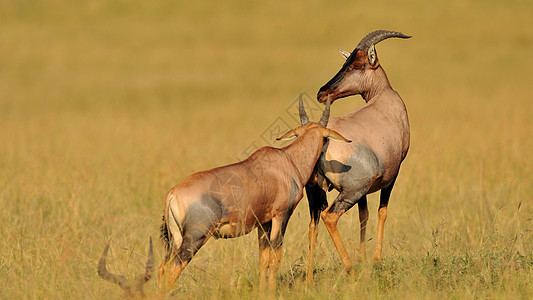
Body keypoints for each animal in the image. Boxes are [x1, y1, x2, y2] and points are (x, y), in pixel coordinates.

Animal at [157, 95, 350, 290]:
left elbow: (263, 258)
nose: (320, 181)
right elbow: (275, 257)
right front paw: (271, 290)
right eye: (326, 140)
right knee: (173, 269)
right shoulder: (281, 215)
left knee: (162, 268)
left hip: (175, 240)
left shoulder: (264, 222)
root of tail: (172, 194)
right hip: (195, 237)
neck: (287, 160)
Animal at [304, 29, 412, 282]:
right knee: (330, 217)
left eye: (356, 64)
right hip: (351, 191)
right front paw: (375, 260)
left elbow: (364, 214)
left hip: (315, 193)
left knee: (313, 226)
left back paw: (309, 279)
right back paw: (350, 268)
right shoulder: (392, 175)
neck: (384, 99)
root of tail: (321, 140)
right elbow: (382, 212)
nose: (322, 92)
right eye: (347, 62)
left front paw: (363, 258)